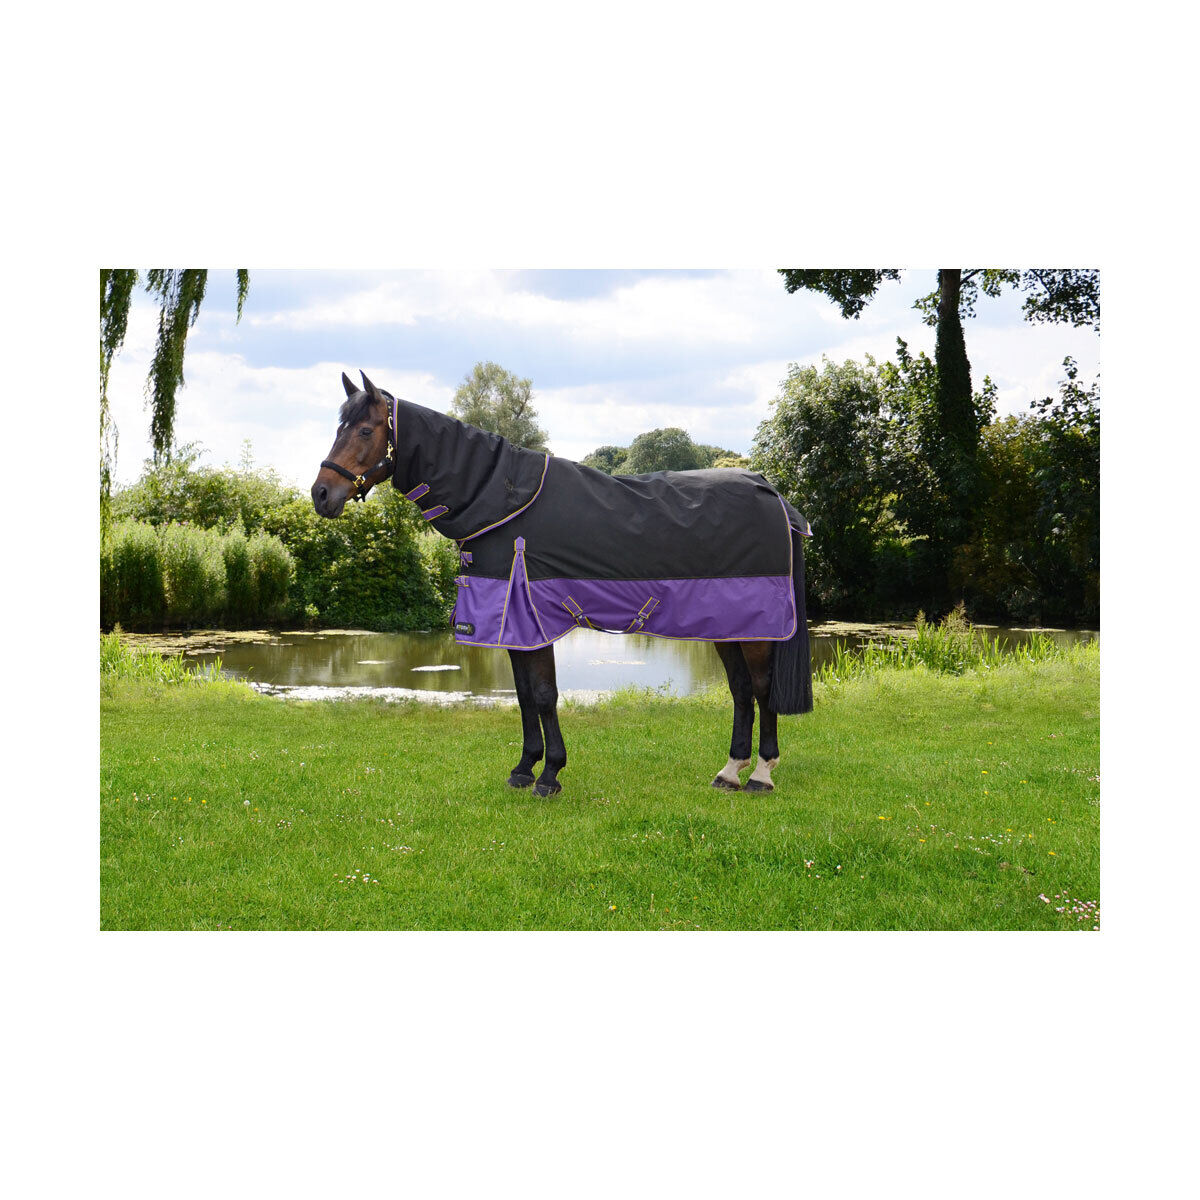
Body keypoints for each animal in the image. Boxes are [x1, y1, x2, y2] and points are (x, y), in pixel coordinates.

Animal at [311, 371, 813, 798]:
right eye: (338, 427)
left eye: (364, 430)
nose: (321, 494)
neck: (501, 502)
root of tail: (774, 495)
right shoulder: (513, 626)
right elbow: (522, 697)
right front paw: (523, 768)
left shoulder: (536, 619)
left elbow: (544, 695)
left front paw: (550, 774)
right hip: (727, 624)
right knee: (741, 690)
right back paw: (729, 771)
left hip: (758, 629)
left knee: (762, 688)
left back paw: (761, 775)